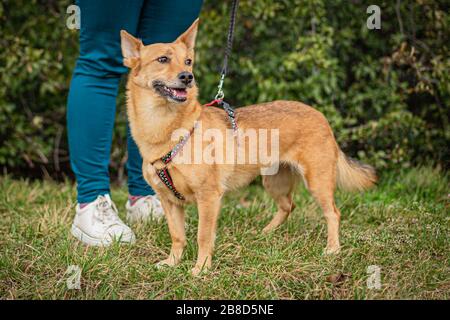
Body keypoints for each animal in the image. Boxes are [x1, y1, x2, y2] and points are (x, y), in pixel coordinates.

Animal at [119, 19, 376, 276]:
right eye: (162, 59)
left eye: (188, 61)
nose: (187, 77)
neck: (170, 130)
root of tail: (320, 116)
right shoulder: (169, 202)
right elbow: (177, 236)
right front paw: (172, 262)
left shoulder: (209, 198)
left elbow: (203, 236)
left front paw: (201, 269)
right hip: (274, 182)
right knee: (288, 205)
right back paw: (265, 234)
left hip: (317, 182)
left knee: (332, 213)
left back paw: (332, 249)